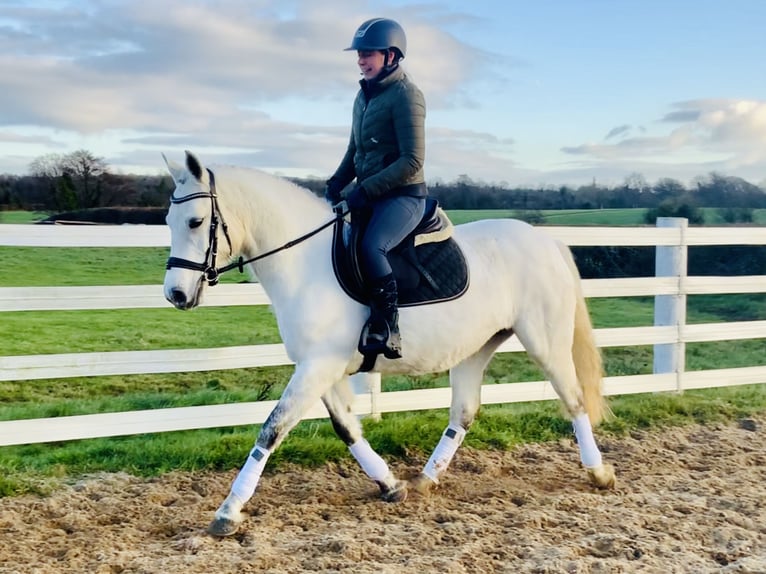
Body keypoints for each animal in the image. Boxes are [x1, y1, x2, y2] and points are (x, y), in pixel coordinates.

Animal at [164, 152, 616, 540]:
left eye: (196, 221)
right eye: (169, 220)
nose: (175, 294)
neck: (307, 264)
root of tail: (546, 241)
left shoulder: (318, 366)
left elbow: (272, 428)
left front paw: (228, 512)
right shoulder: (320, 367)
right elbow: (346, 427)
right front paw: (390, 484)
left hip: (546, 342)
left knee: (573, 399)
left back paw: (598, 473)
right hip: (476, 349)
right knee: (464, 412)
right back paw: (424, 480)